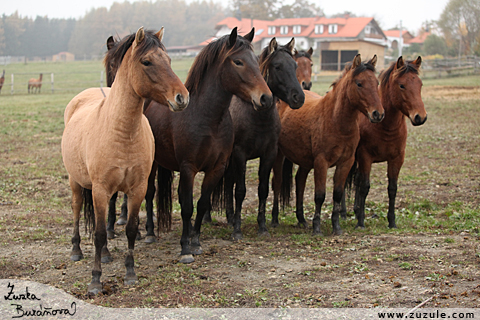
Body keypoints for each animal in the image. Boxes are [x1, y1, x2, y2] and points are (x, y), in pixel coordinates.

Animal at [60, 28, 188, 296]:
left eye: (169, 60)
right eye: (147, 61)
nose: (182, 97)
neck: (122, 131)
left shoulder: (137, 188)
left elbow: (129, 229)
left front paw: (130, 273)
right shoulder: (100, 189)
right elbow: (99, 233)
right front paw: (95, 280)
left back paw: (107, 254)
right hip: (76, 182)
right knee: (77, 209)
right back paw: (76, 250)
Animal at [144, 27, 272, 262]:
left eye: (256, 61)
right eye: (238, 62)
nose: (265, 98)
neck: (207, 118)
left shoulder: (216, 168)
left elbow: (202, 204)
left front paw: (195, 242)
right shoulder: (188, 168)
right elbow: (187, 207)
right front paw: (185, 249)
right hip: (151, 164)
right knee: (149, 193)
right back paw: (149, 233)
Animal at [272, 54, 384, 235]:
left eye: (377, 82)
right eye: (359, 83)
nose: (378, 114)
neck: (335, 121)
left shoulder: (346, 162)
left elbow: (337, 194)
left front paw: (336, 227)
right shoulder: (321, 162)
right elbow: (320, 195)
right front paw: (317, 227)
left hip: (305, 161)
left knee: (300, 181)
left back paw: (302, 219)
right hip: (279, 155)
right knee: (277, 182)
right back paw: (274, 219)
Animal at [344, 56, 428, 229]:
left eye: (420, 84)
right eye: (402, 85)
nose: (420, 117)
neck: (385, 127)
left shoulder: (397, 159)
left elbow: (392, 188)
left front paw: (392, 221)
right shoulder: (365, 158)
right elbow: (365, 187)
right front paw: (361, 222)